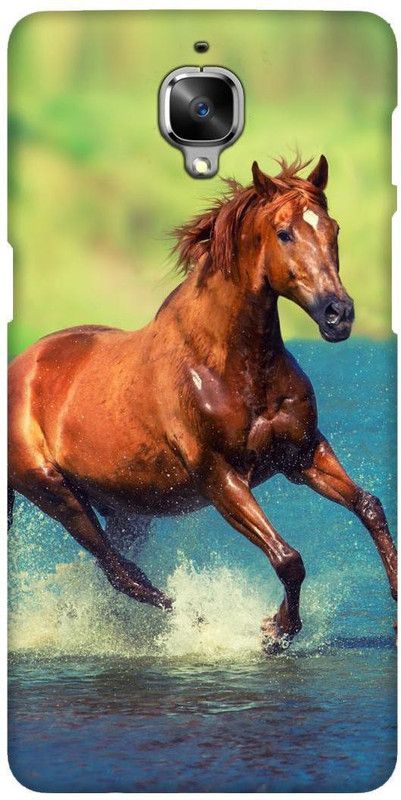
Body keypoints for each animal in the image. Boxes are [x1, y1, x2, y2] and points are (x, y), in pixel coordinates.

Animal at [8, 155, 397, 650]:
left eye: (333, 228)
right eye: (284, 233)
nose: (338, 315)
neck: (230, 365)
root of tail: (18, 370)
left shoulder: (302, 454)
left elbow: (370, 507)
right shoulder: (220, 477)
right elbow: (287, 558)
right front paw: (275, 630)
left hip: (125, 508)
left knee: (117, 570)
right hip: (54, 492)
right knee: (121, 572)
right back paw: (197, 623)